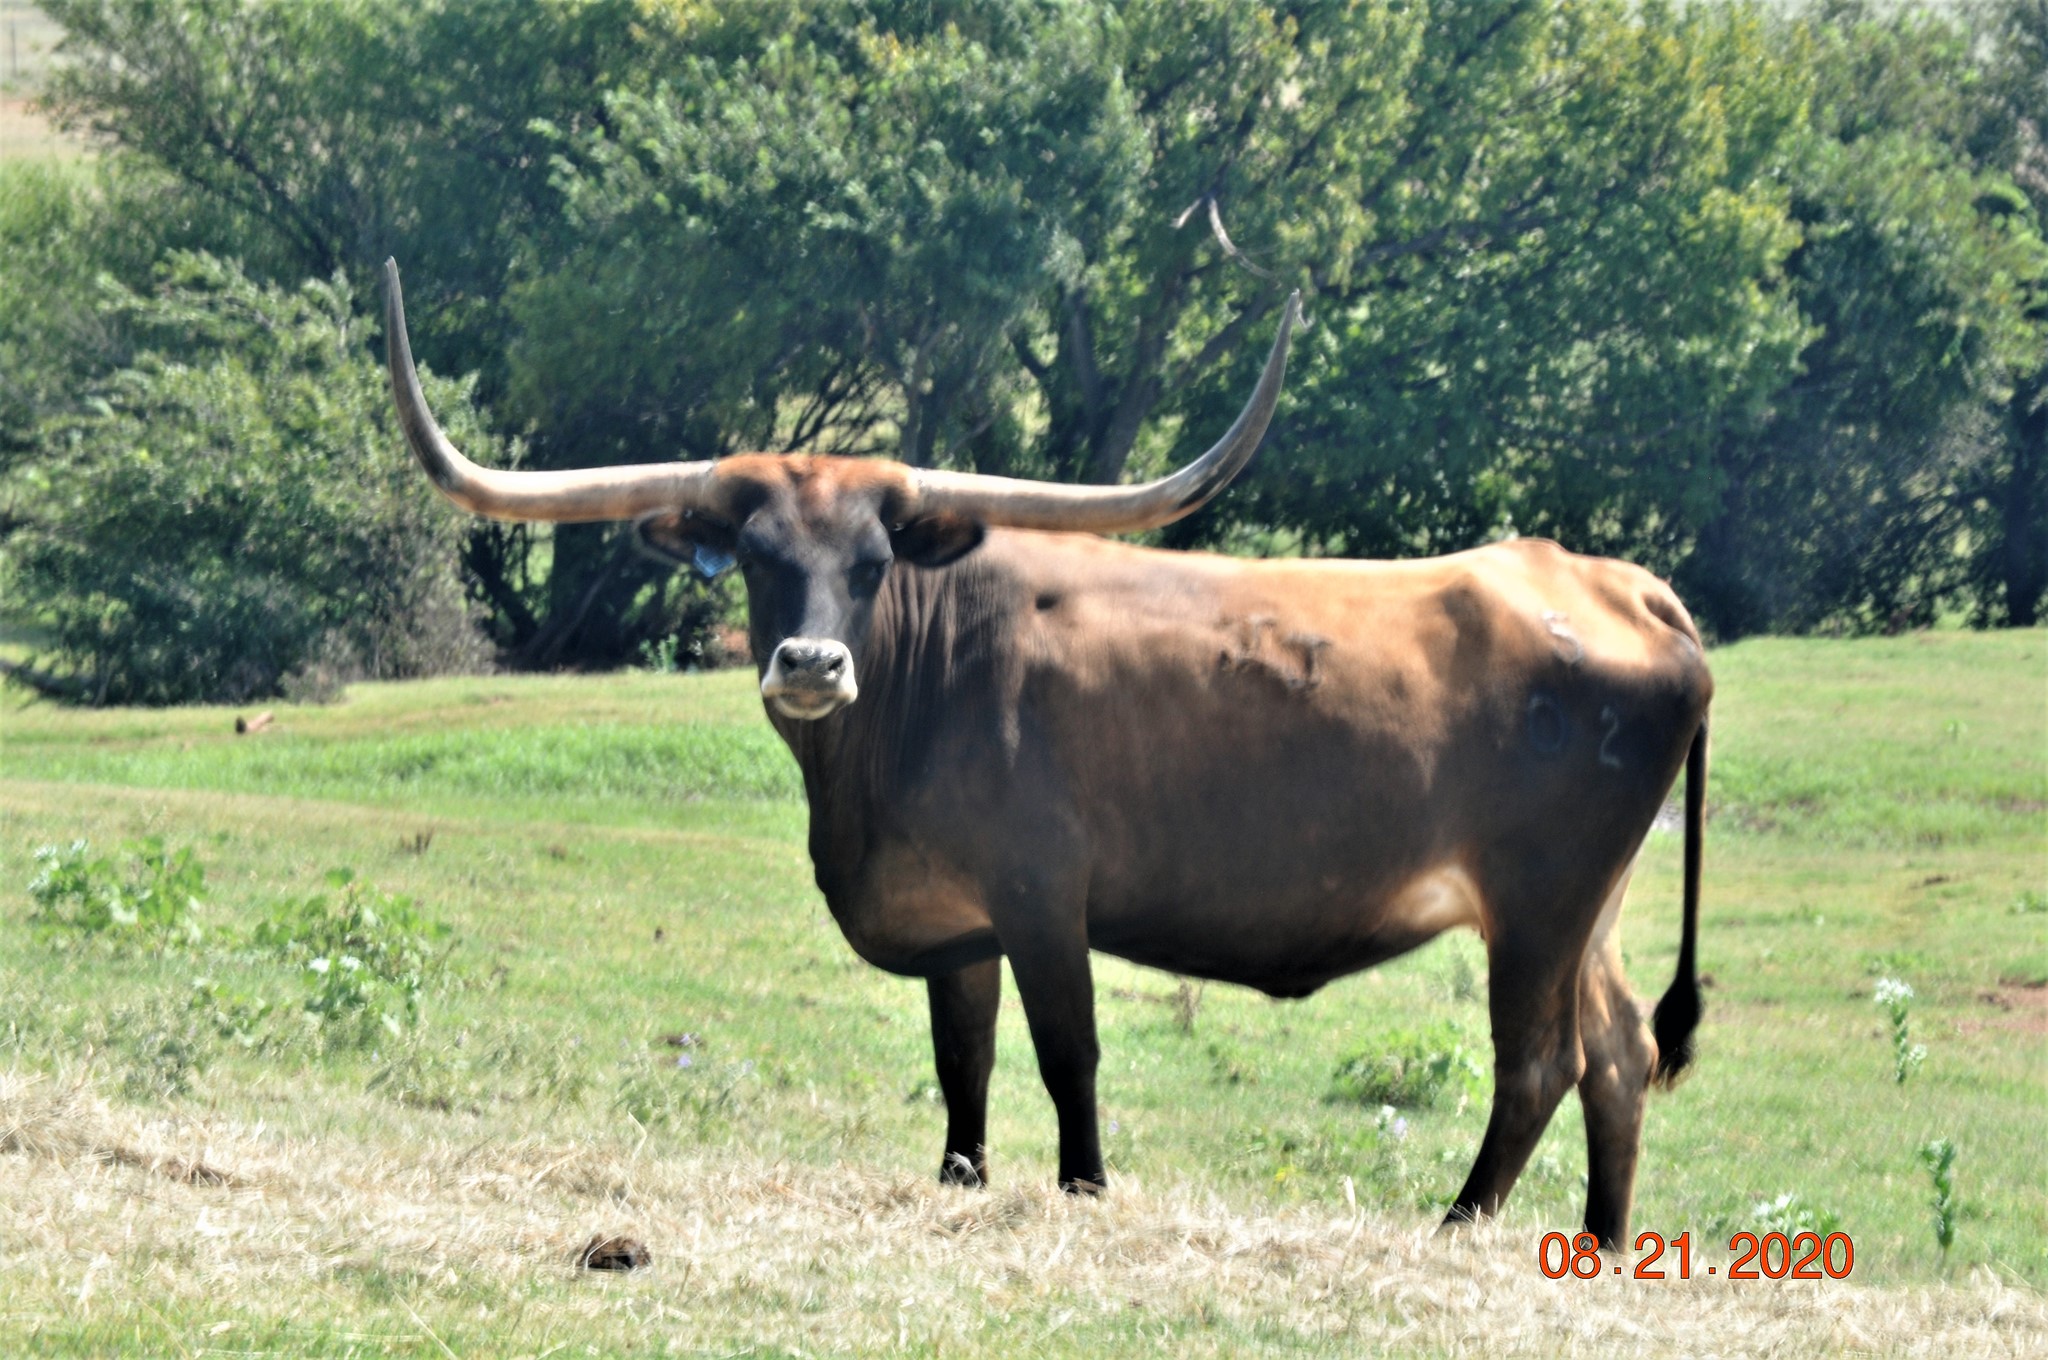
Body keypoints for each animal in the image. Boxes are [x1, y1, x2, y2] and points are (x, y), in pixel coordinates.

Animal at [383, 259, 1709, 1249]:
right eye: (755, 556)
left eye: (874, 559)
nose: (810, 663)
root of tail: (1615, 582)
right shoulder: (959, 921)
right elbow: (960, 1056)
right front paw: (958, 1176)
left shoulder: (1040, 894)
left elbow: (1067, 1050)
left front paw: (1083, 1187)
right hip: (1585, 910)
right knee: (1617, 1053)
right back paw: (1596, 1242)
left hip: (1536, 901)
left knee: (1536, 1061)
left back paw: (1458, 1221)